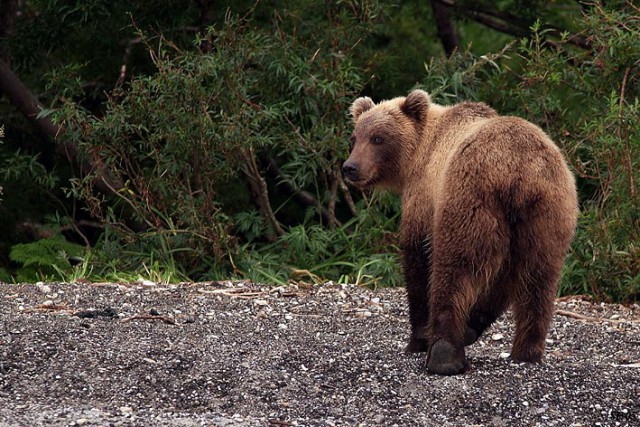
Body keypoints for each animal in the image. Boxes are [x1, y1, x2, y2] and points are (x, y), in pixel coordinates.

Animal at [344, 89, 580, 374]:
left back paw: (444, 353)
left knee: (454, 269)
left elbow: (417, 257)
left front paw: (418, 338)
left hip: (469, 197)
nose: (350, 167)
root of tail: (520, 170)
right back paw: (525, 351)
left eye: (378, 138)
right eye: (355, 138)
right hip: (548, 214)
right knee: (537, 278)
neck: (420, 152)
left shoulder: (424, 194)